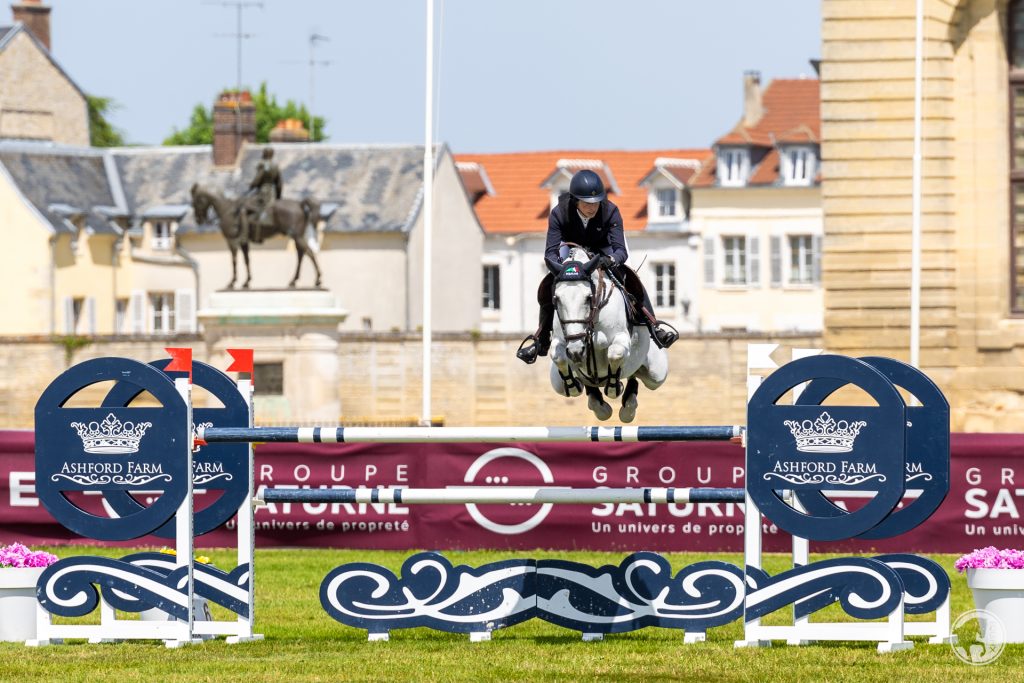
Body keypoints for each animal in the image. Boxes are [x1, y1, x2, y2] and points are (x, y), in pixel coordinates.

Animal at [190, 183, 321, 290]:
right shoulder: (244, 242)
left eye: (195, 201)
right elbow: (247, 260)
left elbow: (234, 261)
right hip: (297, 237)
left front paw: (232, 283)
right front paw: (246, 282)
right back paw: (294, 281)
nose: (198, 220)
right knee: (301, 254)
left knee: (309, 253)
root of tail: (300, 204)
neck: (226, 210)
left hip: (296, 236)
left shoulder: (232, 241)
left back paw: (317, 280)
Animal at [548, 245, 667, 421]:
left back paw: (627, 408)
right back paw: (599, 404)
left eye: (588, 297)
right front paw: (573, 385)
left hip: (656, 373)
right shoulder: (562, 341)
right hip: (557, 382)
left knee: (636, 376)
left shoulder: (621, 338)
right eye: (556, 298)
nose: (576, 352)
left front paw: (613, 388)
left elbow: (615, 354)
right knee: (586, 386)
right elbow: (558, 357)